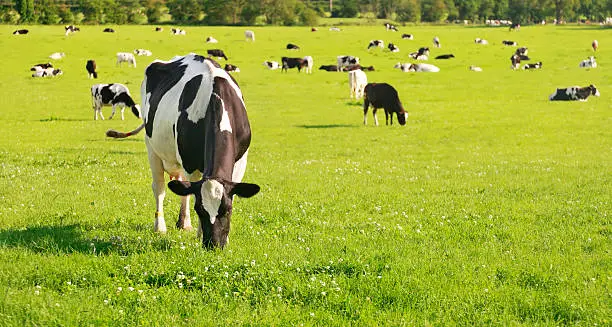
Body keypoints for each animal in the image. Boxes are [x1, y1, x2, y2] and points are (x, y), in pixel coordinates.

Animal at [105, 53, 258, 249]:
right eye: (199, 209)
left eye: (227, 209)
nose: (214, 245)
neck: (217, 99)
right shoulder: (190, 161)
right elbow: (191, 192)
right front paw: (200, 234)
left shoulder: (240, 162)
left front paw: (227, 238)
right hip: (152, 147)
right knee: (160, 188)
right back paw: (160, 226)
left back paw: (183, 223)